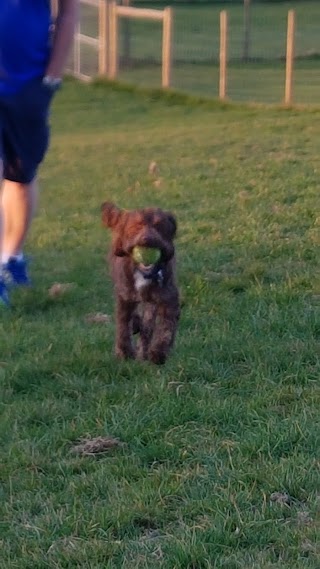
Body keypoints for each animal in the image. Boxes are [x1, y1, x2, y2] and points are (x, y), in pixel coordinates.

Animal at [102, 203, 180, 364]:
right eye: (136, 227)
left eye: (158, 226)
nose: (147, 240)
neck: (144, 273)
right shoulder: (124, 296)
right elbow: (123, 325)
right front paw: (124, 351)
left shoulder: (168, 297)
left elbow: (166, 327)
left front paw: (158, 352)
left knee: (147, 327)